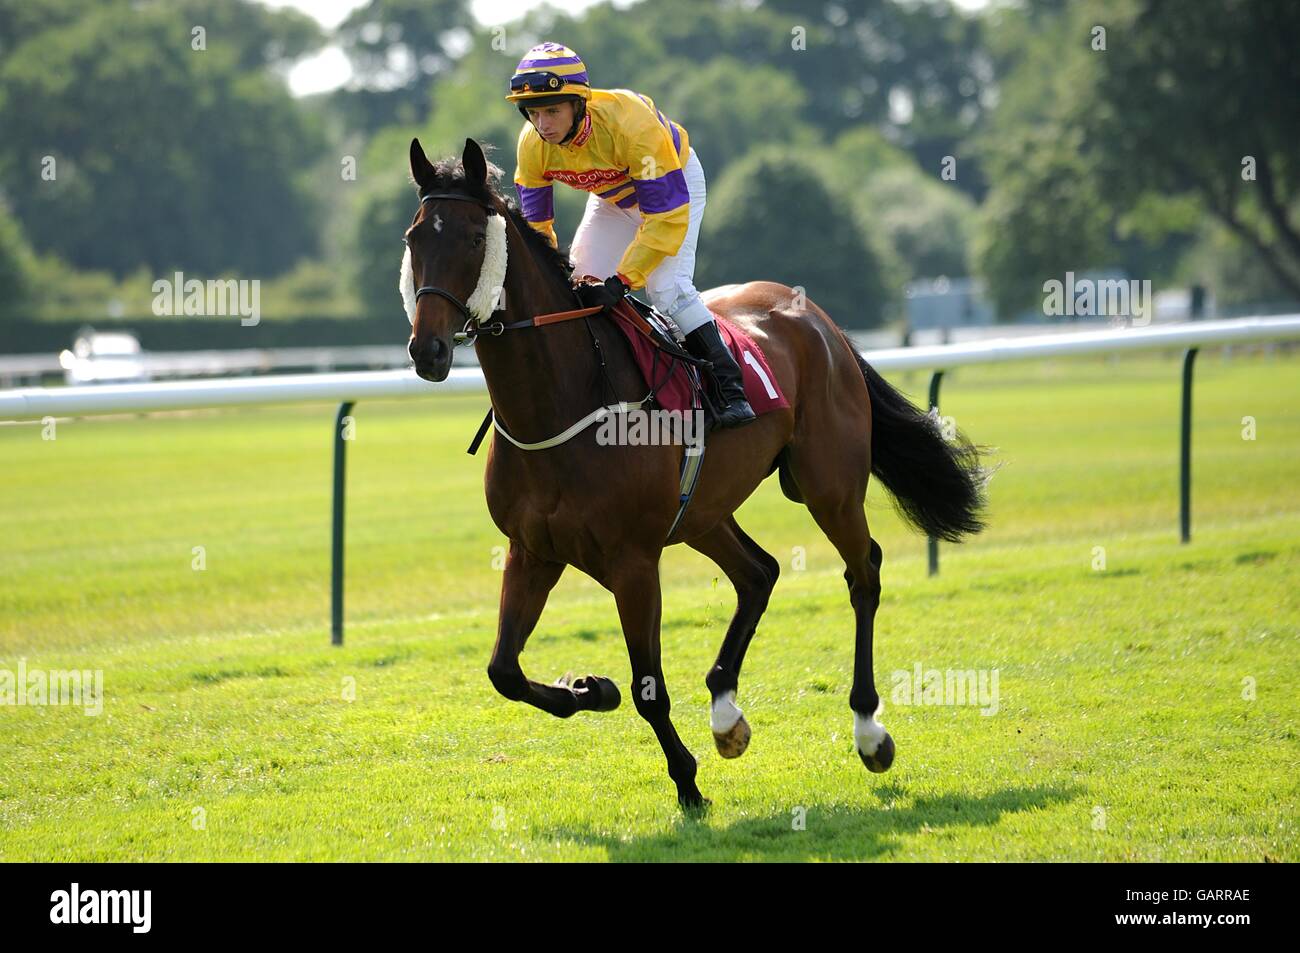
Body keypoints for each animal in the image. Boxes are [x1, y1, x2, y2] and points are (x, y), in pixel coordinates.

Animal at [405, 139, 982, 811]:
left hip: (829, 486)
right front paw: (591, 689)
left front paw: (686, 782)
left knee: (862, 573)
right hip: (702, 512)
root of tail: (817, 319)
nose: (428, 351)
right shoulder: (532, 550)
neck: (562, 401)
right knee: (759, 573)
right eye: (414, 237)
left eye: (475, 237)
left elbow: (648, 688)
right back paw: (727, 715)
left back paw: (869, 731)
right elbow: (504, 672)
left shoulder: (633, 561)